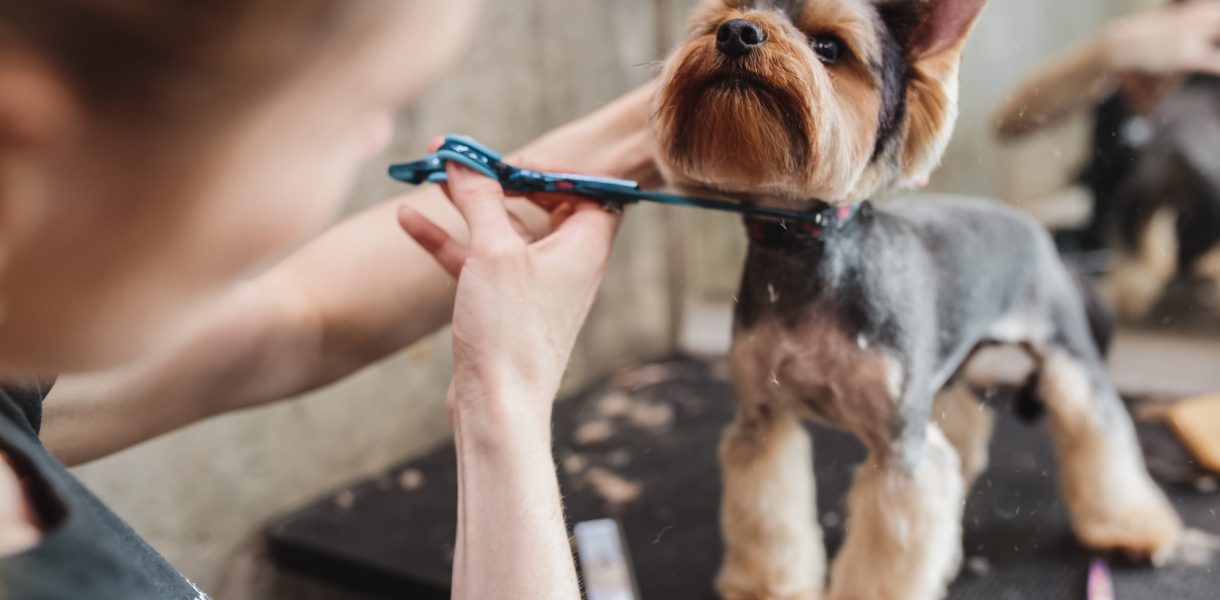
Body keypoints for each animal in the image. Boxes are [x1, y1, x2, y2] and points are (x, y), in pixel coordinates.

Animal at [653, 1, 1185, 600]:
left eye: (828, 48)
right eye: (722, 15)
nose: (737, 32)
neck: (807, 244)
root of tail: (1039, 232)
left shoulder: (898, 448)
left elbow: (889, 546)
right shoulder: (762, 421)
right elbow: (767, 510)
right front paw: (766, 586)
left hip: (1066, 354)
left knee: (1098, 426)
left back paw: (1131, 530)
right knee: (963, 428)